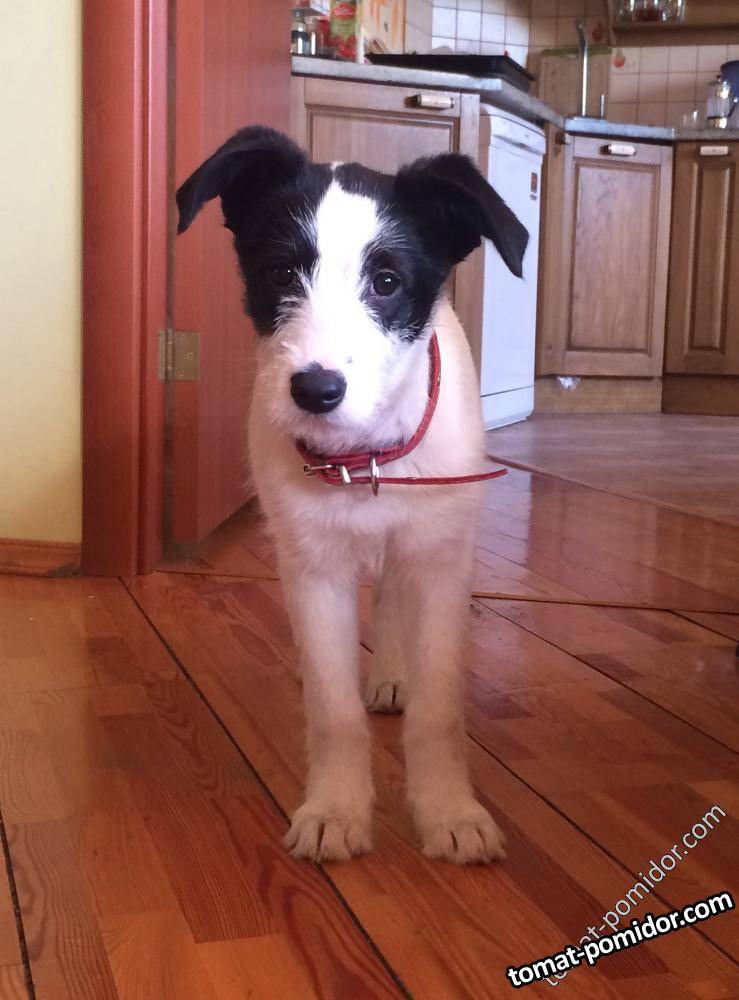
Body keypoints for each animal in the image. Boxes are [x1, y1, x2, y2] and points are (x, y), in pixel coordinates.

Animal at [176, 126, 528, 864]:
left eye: (386, 282)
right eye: (281, 273)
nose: (315, 390)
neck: (362, 457)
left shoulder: (439, 561)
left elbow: (439, 707)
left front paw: (448, 809)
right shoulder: (314, 567)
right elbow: (333, 708)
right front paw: (336, 808)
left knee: (392, 599)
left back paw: (393, 672)